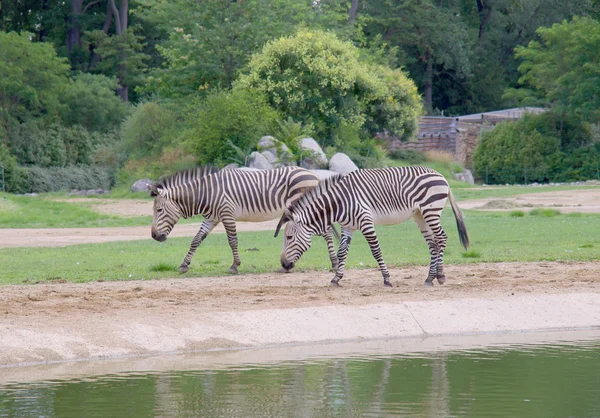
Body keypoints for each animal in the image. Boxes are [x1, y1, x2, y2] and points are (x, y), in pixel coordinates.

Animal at [148, 167, 340, 274]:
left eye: (159, 210)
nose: (154, 236)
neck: (207, 193)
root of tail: (313, 174)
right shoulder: (211, 218)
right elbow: (196, 240)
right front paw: (184, 265)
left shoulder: (227, 213)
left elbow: (232, 240)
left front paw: (234, 266)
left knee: (327, 232)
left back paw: (333, 262)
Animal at [274, 167, 472, 288]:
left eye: (289, 238)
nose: (283, 264)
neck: (339, 203)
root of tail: (440, 175)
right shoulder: (349, 226)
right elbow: (342, 252)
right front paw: (336, 279)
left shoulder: (365, 221)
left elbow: (376, 251)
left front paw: (387, 279)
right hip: (420, 215)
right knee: (433, 243)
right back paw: (430, 278)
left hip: (431, 210)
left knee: (442, 238)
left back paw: (441, 276)